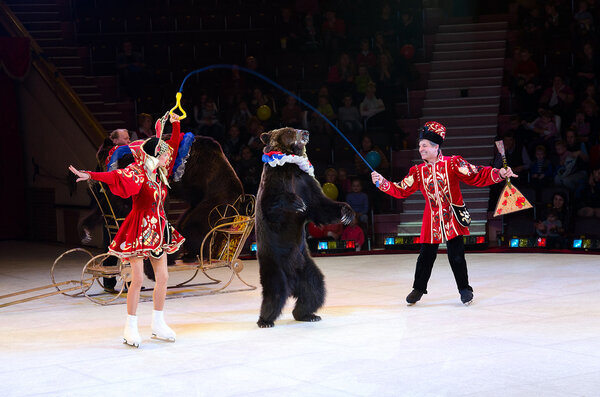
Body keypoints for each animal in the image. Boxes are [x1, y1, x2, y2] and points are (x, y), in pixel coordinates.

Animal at [255, 127, 354, 328]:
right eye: (289, 131)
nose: (305, 132)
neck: (290, 166)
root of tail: (293, 282)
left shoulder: (306, 182)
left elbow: (320, 205)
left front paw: (346, 212)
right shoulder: (274, 180)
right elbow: (270, 204)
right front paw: (296, 203)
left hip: (305, 265)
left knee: (315, 287)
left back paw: (307, 314)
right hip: (274, 262)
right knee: (274, 291)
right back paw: (265, 319)